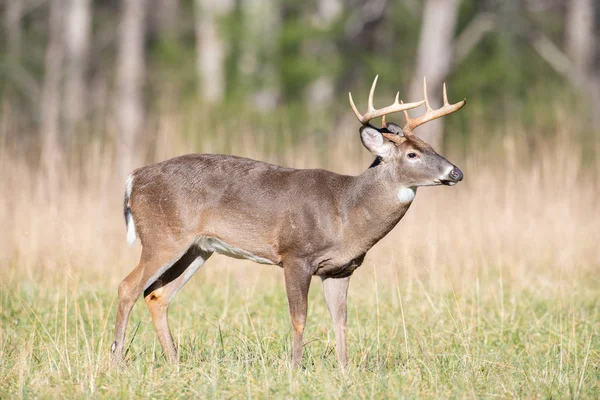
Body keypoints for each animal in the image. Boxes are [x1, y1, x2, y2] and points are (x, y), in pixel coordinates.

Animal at [110, 75, 466, 368]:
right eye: (412, 155)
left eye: (432, 147)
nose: (456, 172)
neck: (345, 212)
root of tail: (133, 177)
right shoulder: (296, 255)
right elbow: (299, 317)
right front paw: (295, 368)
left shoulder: (341, 268)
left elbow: (341, 320)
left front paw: (344, 370)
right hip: (163, 237)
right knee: (128, 286)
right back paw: (116, 361)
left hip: (198, 248)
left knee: (157, 295)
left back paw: (174, 362)